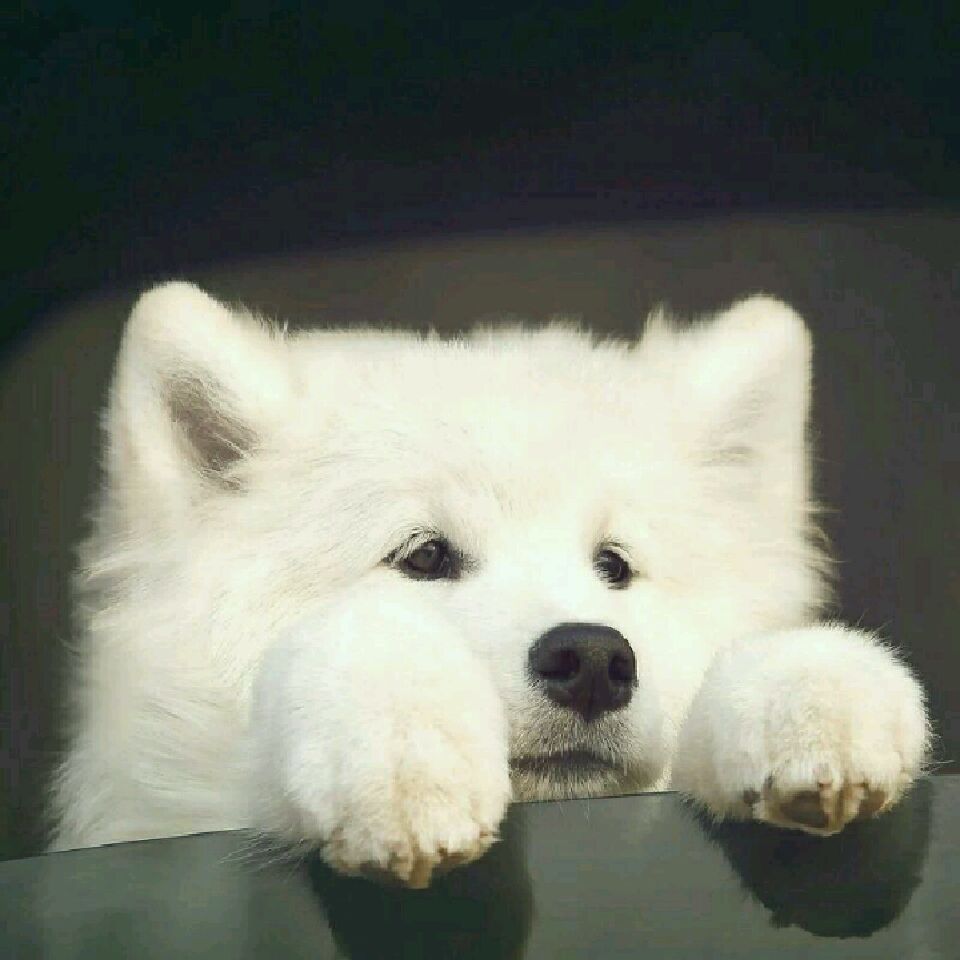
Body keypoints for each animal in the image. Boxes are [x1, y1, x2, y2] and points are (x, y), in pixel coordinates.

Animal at [51, 283, 930, 887]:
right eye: (423, 557)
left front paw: (811, 697)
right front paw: (404, 761)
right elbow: (364, 653)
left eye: (614, 566)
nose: (593, 659)